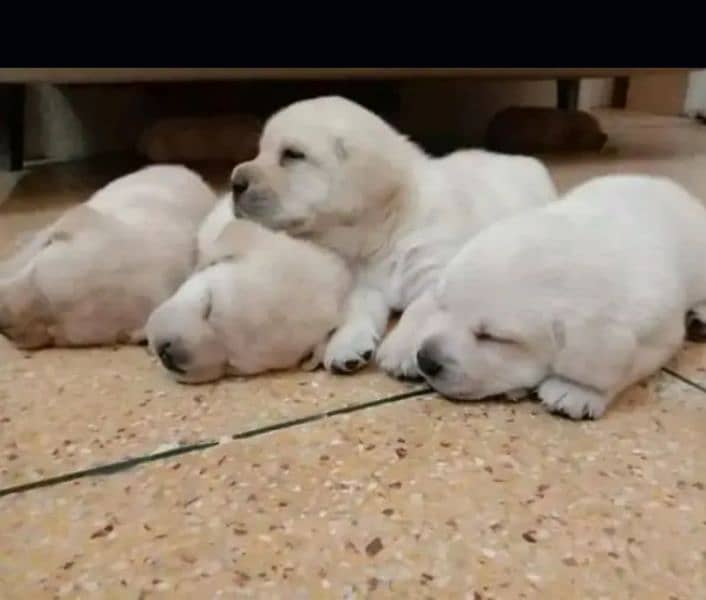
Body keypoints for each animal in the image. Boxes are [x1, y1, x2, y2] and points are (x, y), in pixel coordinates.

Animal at [227, 95, 556, 376]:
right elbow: (355, 311)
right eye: (260, 151)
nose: (234, 183)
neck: (386, 232)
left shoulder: (435, 272)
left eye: (293, 155)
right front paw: (346, 345)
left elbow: (417, 309)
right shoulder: (365, 285)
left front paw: (401, 349)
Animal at [410, 173, 704, 418]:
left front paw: (576, 390)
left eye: (493, 337)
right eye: (444, 305)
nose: (425, 359)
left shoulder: (659, 336)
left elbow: (621, 364)